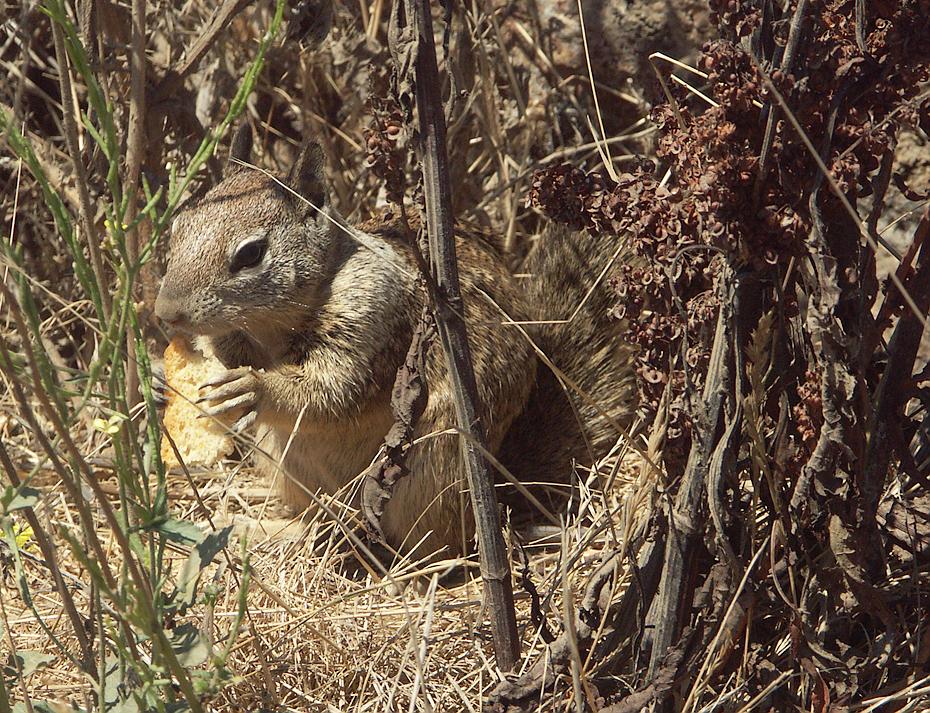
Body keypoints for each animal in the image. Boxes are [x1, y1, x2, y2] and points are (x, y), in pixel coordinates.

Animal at [154, 125, 635, 558]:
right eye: (179, 227)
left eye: (251, 254)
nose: (165, 313)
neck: (272, 330)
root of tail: (505, 487)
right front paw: (163, 379)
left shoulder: (377, 316)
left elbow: (336, 391)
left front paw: (252, 388)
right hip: (287, 464)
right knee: (317, 517)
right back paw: (264, 529)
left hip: (429, 472)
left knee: (430, 547)